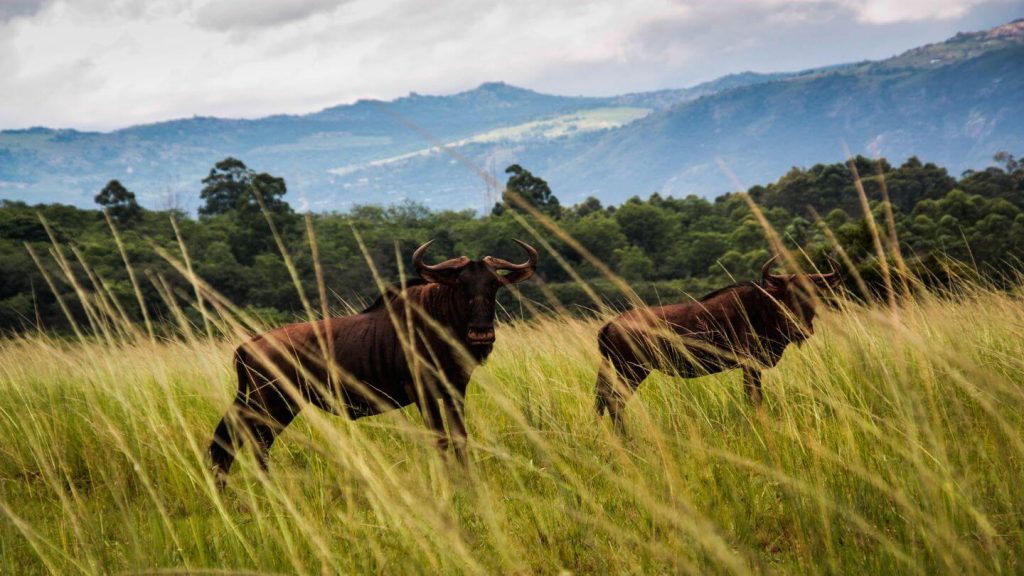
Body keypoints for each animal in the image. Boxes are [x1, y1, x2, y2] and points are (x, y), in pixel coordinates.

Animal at [209, 239, 538, 485]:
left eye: (494, 284)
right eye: (461, 285)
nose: (481, 333)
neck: (438, 319)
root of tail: (249, 345)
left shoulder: (455, 389)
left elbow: (459, 437)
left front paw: (467, 482)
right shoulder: (423, 391)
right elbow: (440, 438)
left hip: (266, 404)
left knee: (229, 438)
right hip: (274, 405)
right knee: (253, 442)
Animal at [594, 256, 841, 430]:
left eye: (814, 294)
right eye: (786, 294)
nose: (800, 329)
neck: (764, 308)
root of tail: (612, 323)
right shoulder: (750, 366)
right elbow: (754, 398)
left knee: (602, 401)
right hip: (632, 372)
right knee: (614, 402)